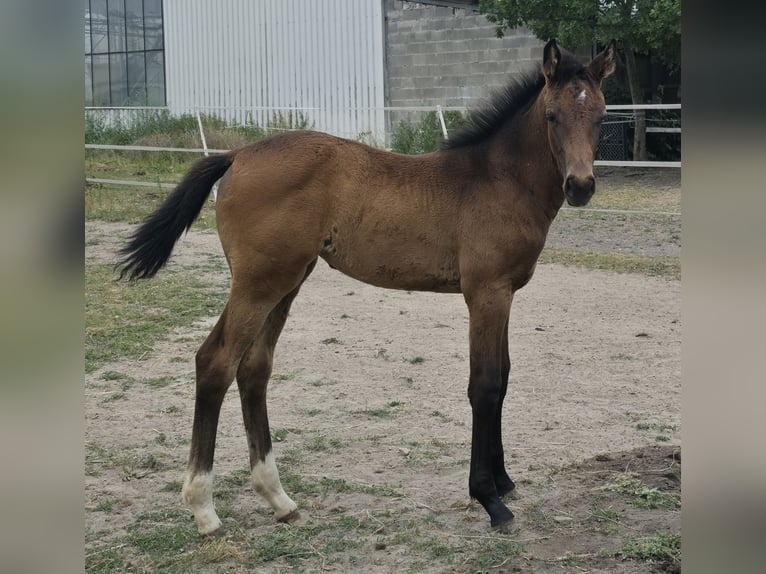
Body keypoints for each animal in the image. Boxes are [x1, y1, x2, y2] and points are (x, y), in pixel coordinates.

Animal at [117, 39, 617, 533]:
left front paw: (505, 481)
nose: (580, 186)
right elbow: (486, 384)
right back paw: (205, 508)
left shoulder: (506, 293)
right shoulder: (486, 293)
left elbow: (505, 377)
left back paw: (279, 498)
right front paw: (490, 499)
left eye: (600, 115)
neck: (497, 180)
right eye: (551, 115)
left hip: (286, 282)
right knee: (216, 362)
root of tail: (237, 155)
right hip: (258, 284)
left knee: (254, 368)